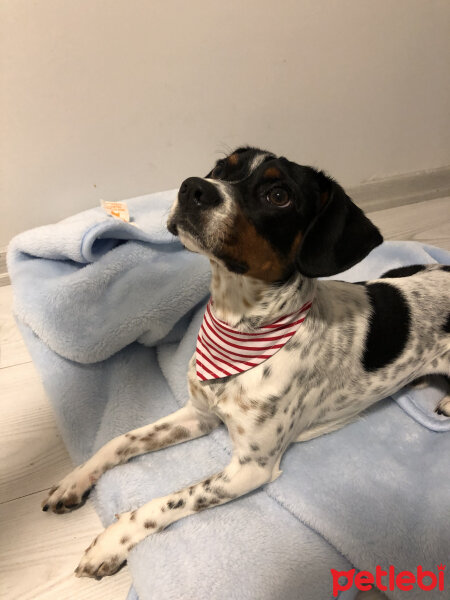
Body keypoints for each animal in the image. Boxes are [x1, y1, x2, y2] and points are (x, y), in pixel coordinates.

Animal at [42, 146, 450, 580]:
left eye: (279, 195)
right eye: (222, 167)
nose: (192, 187)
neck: (240, 327)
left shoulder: (250, 468)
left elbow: (171, 500)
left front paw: (111, 541)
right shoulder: (199, 414)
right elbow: (121, 440)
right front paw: (75, 480)